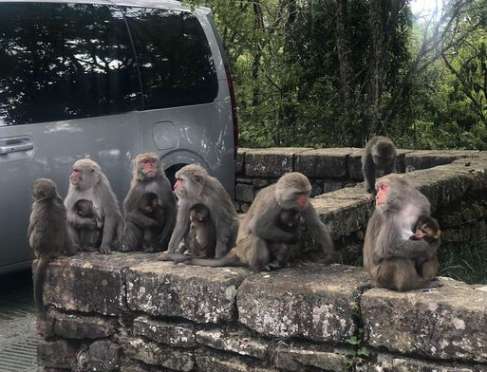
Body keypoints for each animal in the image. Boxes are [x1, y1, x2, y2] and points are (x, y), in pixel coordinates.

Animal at [28, 177, 74, 320]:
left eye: (35, 189)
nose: (32, 193)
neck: (49, 199)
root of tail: (46, 252)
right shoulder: (61, 202)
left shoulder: (36, 206)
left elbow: (31, 227)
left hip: (37, 247)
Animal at [183, 173, 336, 272]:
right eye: (299, 193)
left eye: (305, 193)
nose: (304, 199)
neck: (281, 200)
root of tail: (236, 252)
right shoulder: (271, 203)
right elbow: (258, 227)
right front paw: (295, 236)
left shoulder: (303, 206)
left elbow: (316, 225)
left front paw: (329, 255)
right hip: (243, 250)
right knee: (255, 238)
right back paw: (259, 267)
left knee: (281, 242)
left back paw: (278, 262)